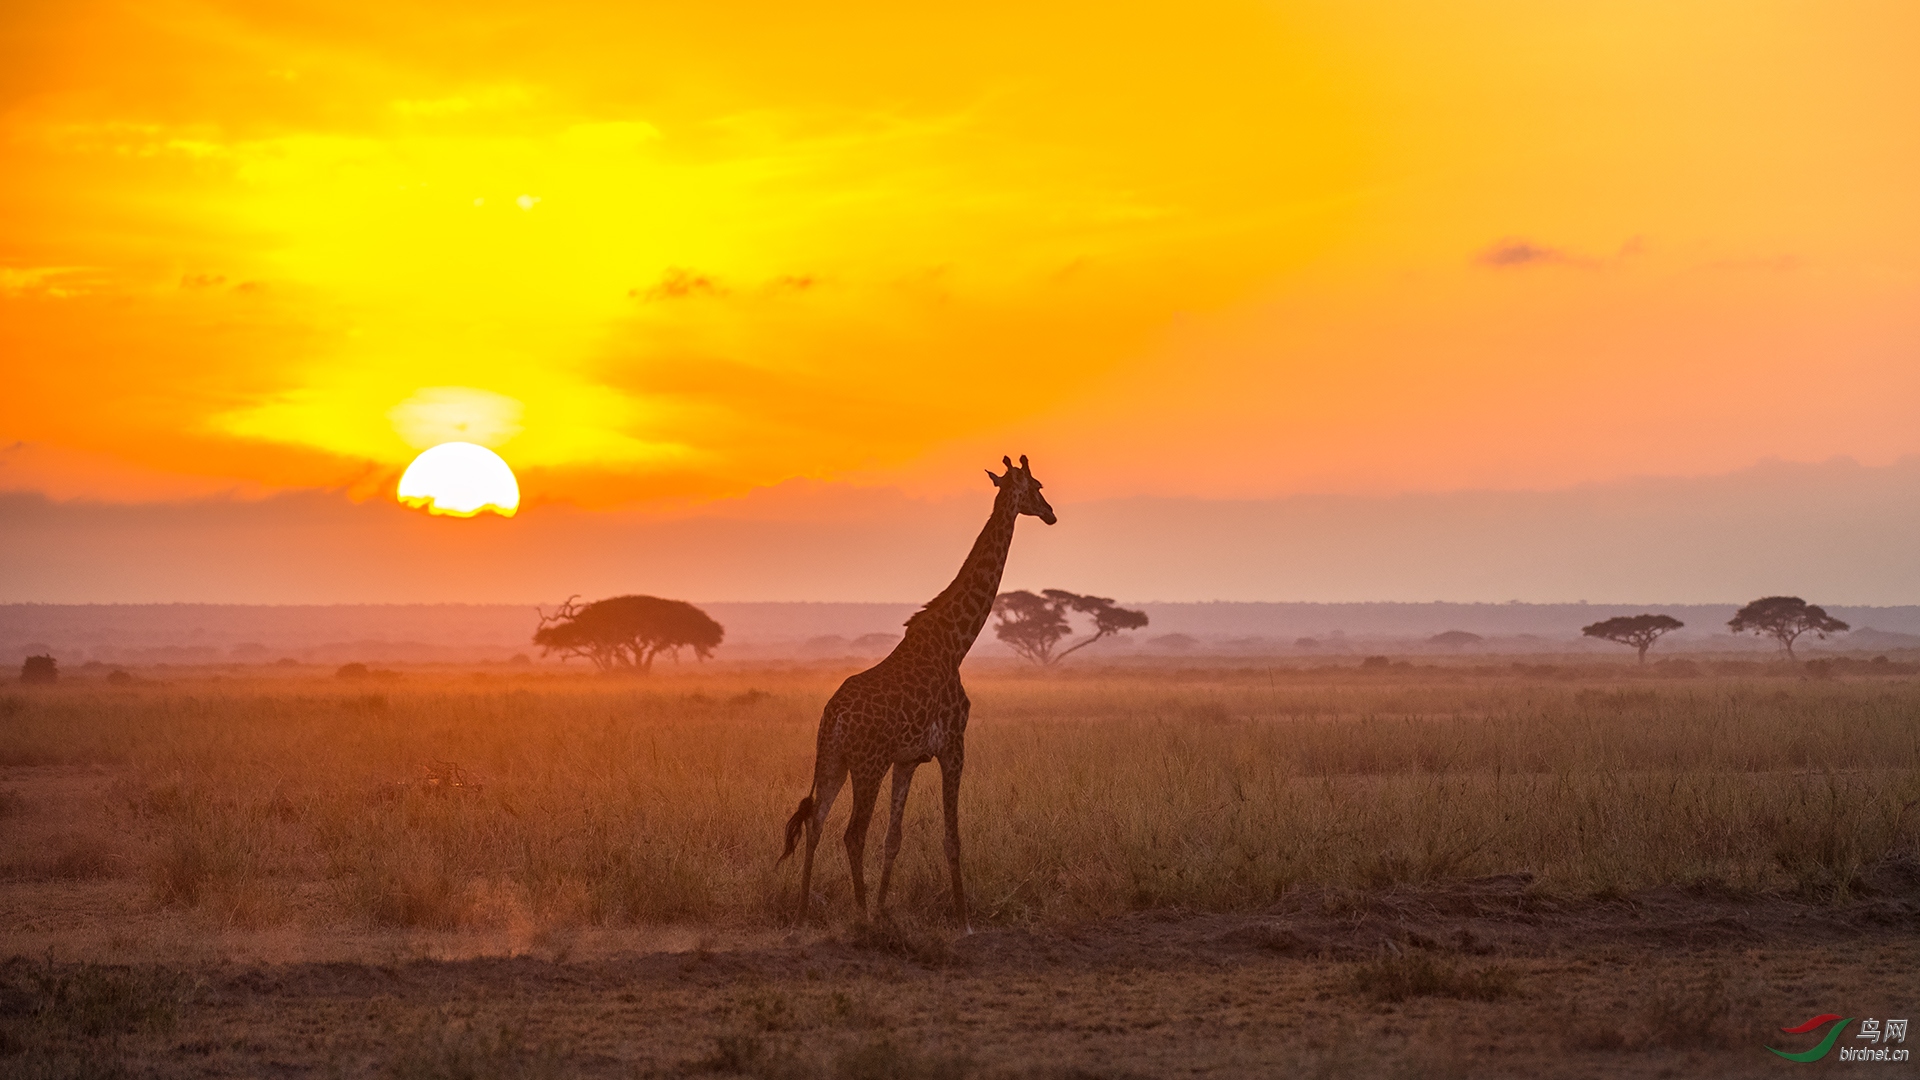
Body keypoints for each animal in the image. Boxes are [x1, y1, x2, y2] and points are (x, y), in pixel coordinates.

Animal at [771, 451, 1059, 926]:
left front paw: (885, 908)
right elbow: (951, 838)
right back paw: (859, 916)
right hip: (868, 764)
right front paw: (963, 920)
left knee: (815, 822)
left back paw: (800, 915)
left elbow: (894, 838)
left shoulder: (908, 760)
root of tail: (834, 717)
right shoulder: (954, 745)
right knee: (851, 833)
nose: (1052, 513)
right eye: (1036, 486)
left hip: (832, 760)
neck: (956, 642)